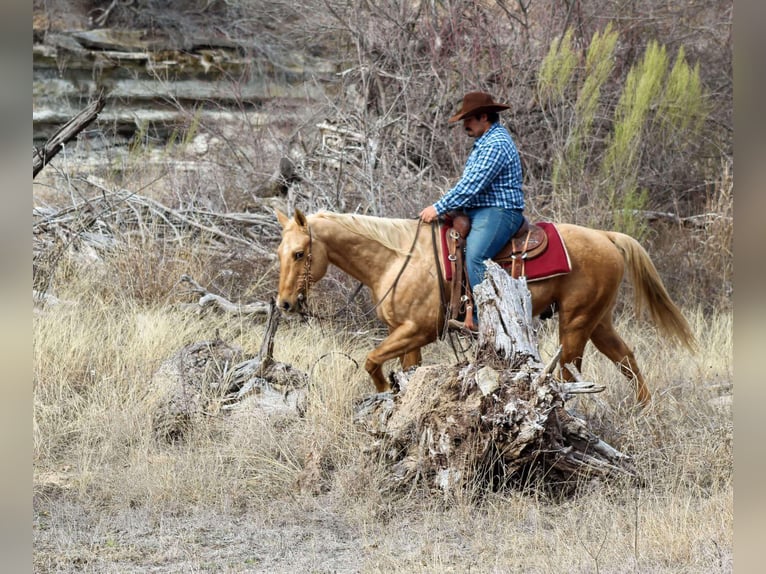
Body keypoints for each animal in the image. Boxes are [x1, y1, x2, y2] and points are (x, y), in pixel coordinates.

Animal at [275, 209, 695, 405]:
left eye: (299, 253)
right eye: (280, 252)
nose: (284, 303)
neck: (399, 258)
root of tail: (607, 237)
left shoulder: (418, 330)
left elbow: (371, 361)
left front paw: (381, 392)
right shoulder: (407, 336)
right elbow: (402, 371)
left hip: (576, 323)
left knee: (572, 373)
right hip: (598, 320)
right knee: (626, 358)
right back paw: (643, 412)